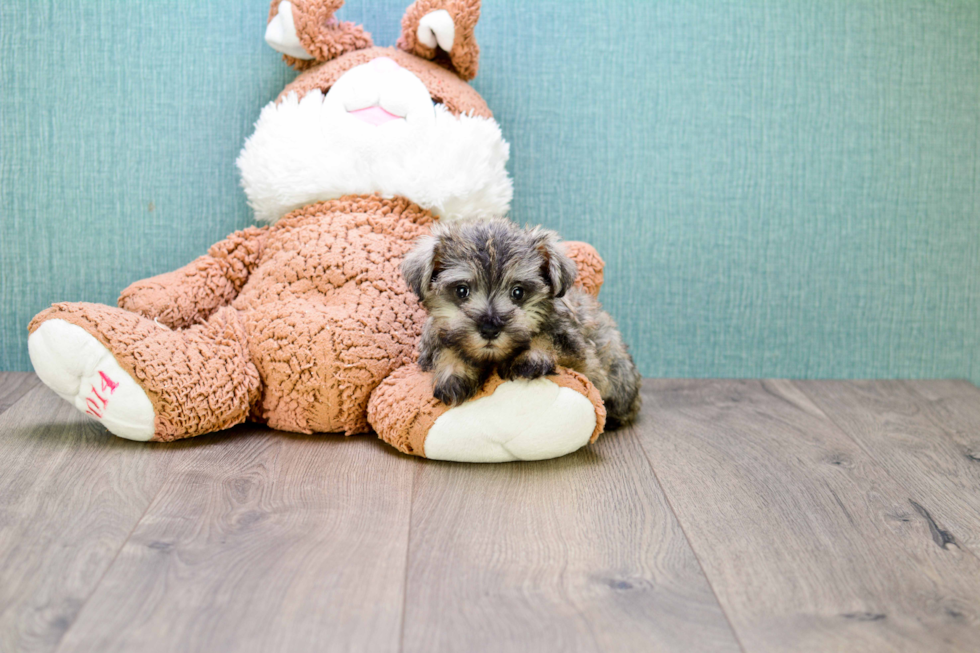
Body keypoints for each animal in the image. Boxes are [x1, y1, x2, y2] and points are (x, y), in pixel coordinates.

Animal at [400, 218, 644, 428]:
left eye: (518, 292)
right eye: (462, 291)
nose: (490, 329)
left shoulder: (582, 357)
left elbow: (547, 337)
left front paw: (531, 356)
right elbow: (447, 345)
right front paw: (453, 371)